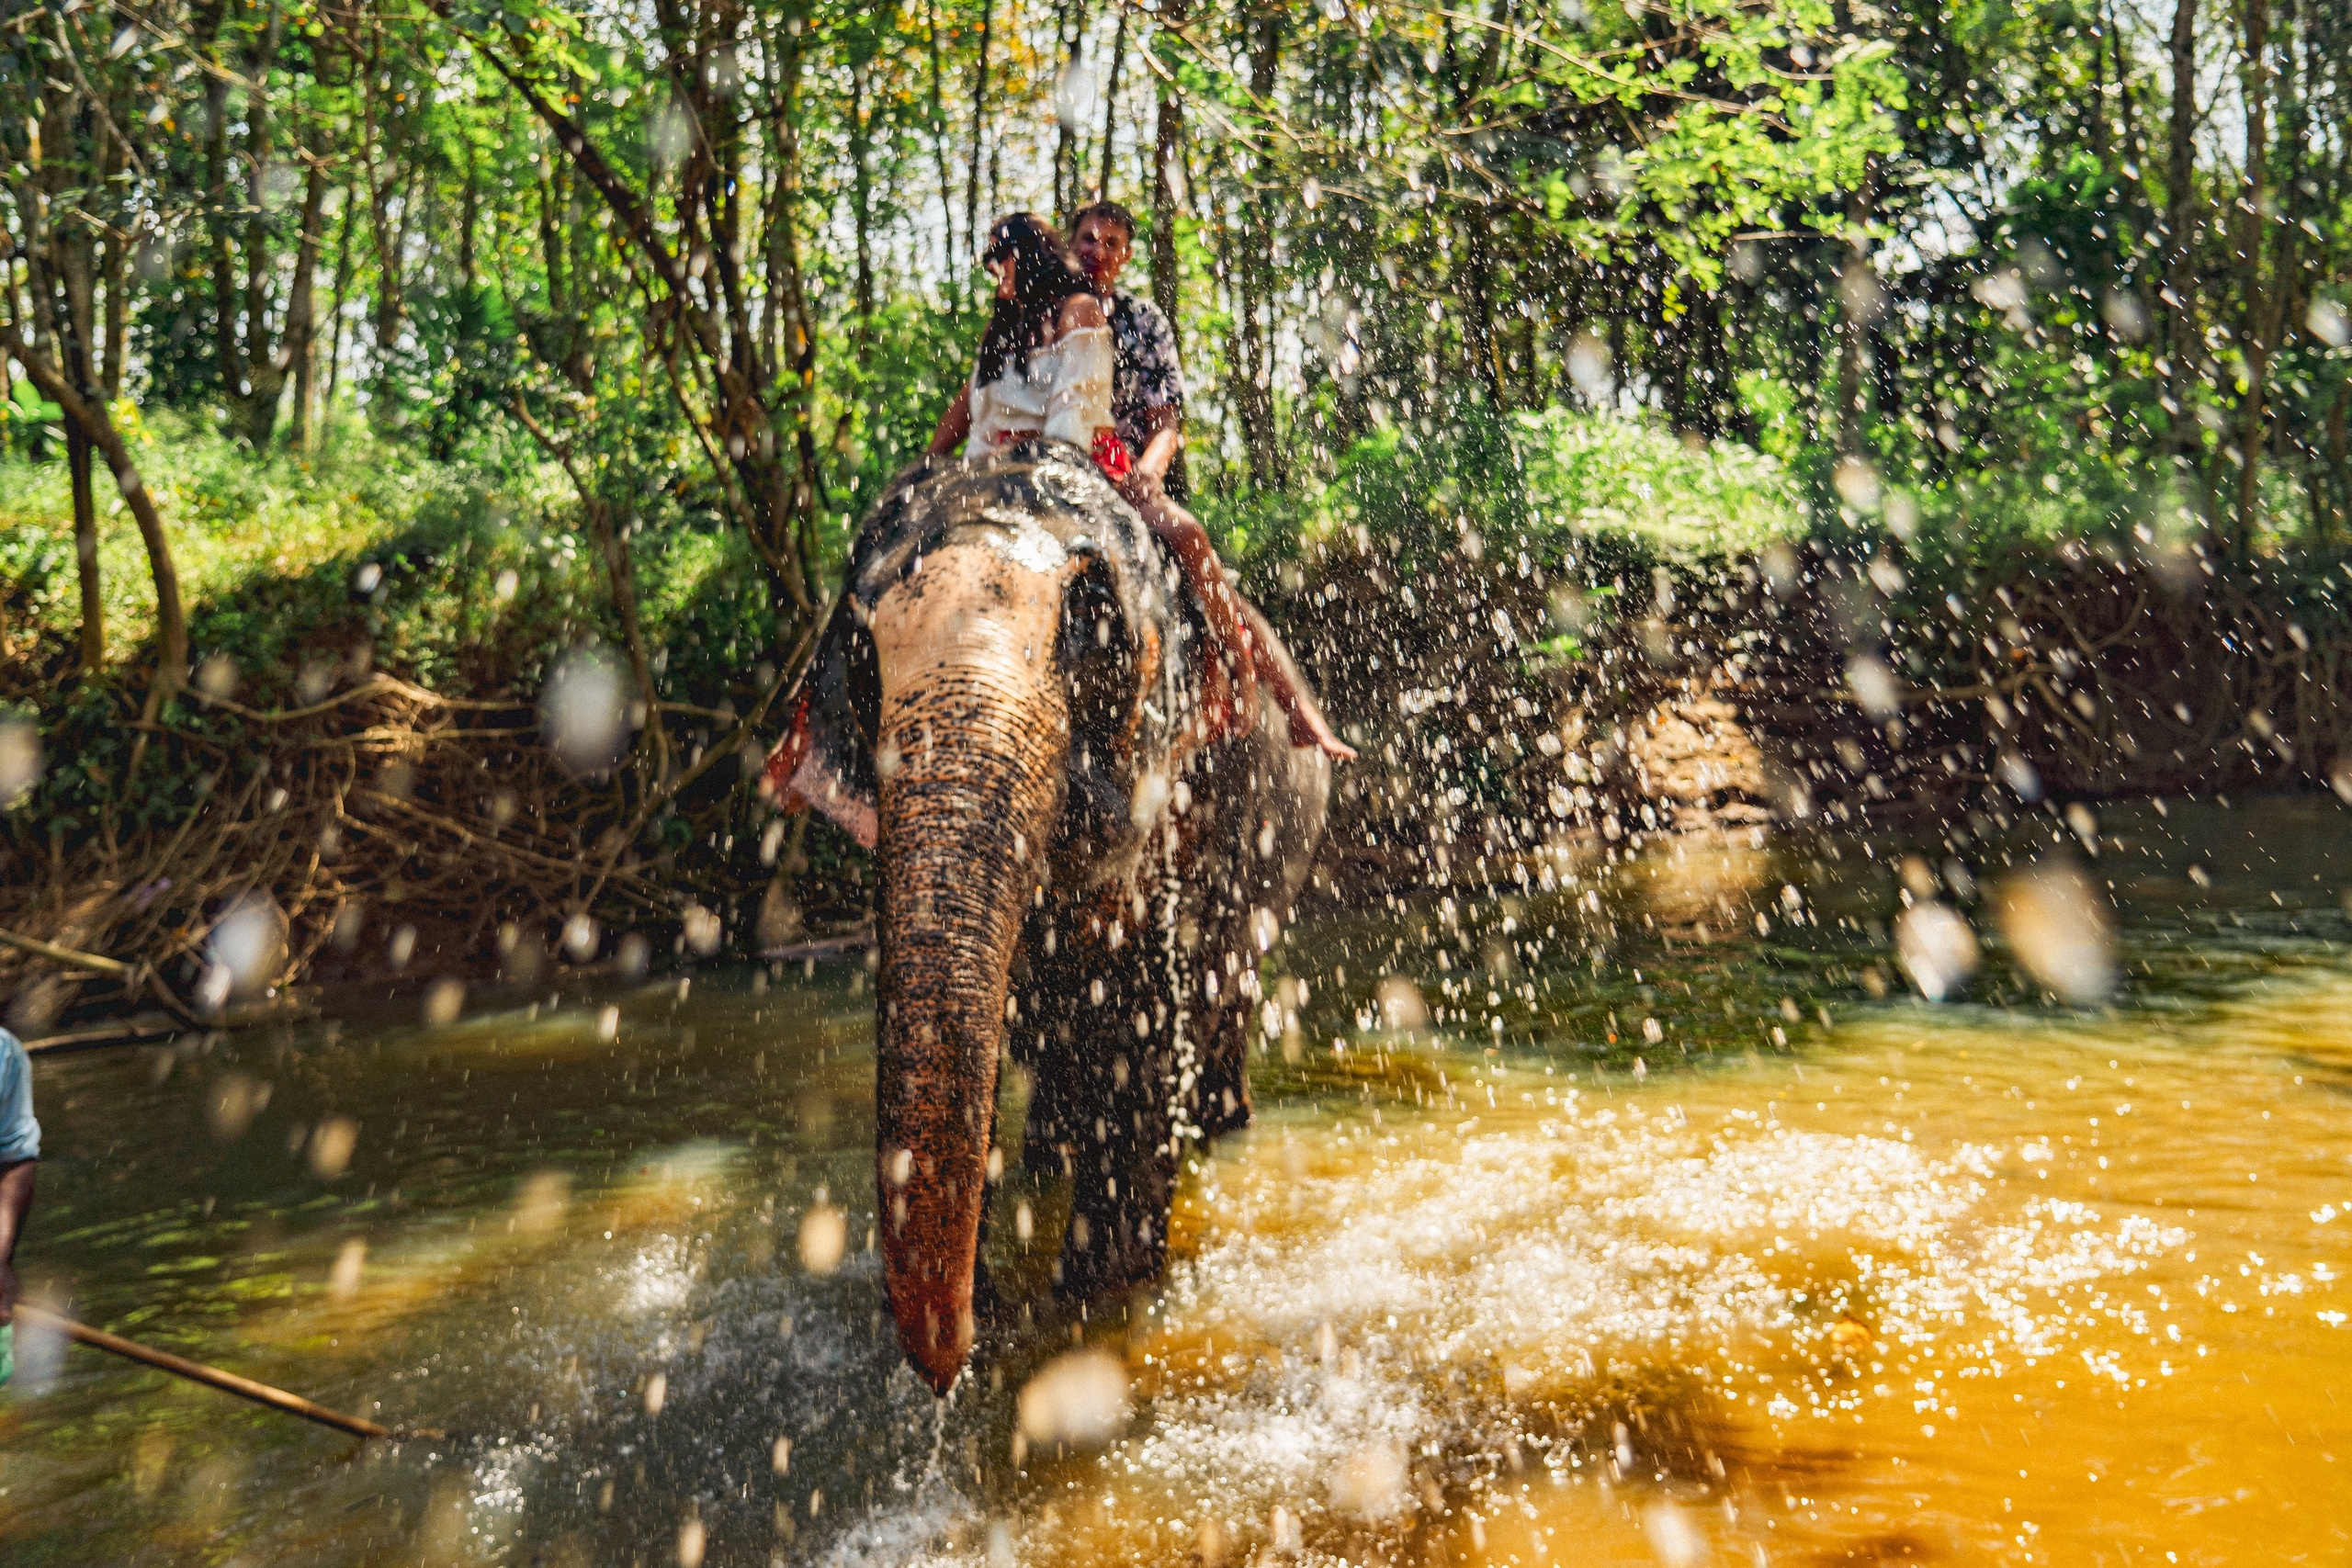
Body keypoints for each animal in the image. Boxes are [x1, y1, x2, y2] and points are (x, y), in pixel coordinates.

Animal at [764, 440, 1332, 1394]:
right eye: (863, 657)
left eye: (1094, 627)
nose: (953, 1358)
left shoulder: (1185, 803)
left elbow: (1145, 1024)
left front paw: (1096, 1297)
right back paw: (1051, 1156)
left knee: (1226, 988)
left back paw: (1220, 1123)